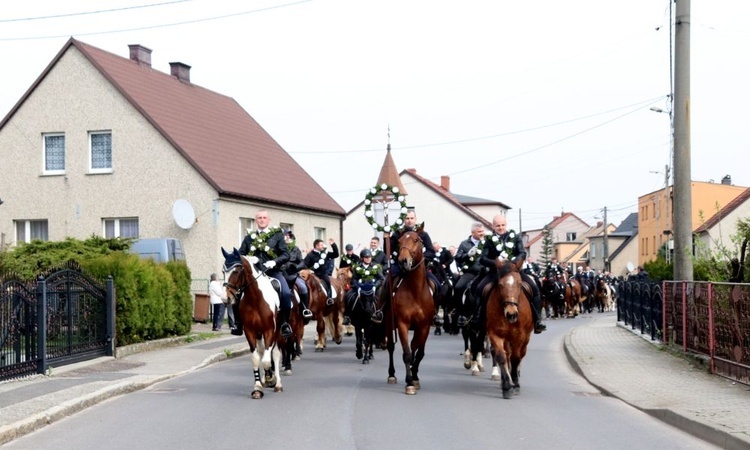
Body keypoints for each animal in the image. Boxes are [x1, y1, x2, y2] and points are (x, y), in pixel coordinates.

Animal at [223, 248, 284, 400]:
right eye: (223, 271)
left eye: (236, 271)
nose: (226, 298)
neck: (255, 298)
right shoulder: (250, 331)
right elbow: (257, 358)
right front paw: (258, 387)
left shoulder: (269, 330)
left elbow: (267, 360)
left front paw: (270, 379)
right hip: (259, 334)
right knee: (262, 352)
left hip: (278, 332)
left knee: (275, 353)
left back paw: (277, 384)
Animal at [384, 225, 438, 394]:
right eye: (400, 241)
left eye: (416, 240)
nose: (403, 261)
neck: (415, 291)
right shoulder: (402, 324)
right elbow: (407, 353)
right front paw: (409, 383)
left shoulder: (424, 326)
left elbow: (418, 352)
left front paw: (415, 377)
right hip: (389, 324)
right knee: (391, 347)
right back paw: (391, 375)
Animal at [488, 255, 536, 400]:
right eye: (500, 285)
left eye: (519, 284)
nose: (511, 314)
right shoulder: (495, 334)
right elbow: (501, 357)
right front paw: (507, 386)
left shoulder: (520, 335)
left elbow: (516, 358)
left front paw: (515, 383)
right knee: (507, 355)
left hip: (525, 339)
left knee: (520, 355)